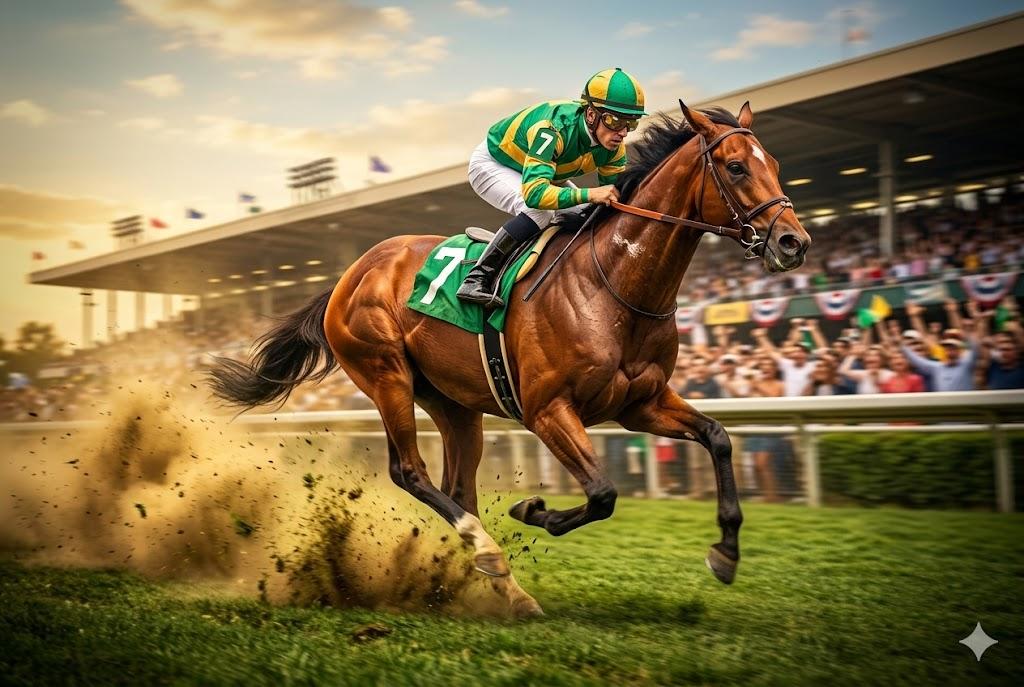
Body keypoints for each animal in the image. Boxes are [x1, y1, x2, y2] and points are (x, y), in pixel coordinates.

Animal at [209, 101, 811, 617]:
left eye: (777, 165)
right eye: (736, 167)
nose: (794, 243)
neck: (614, 284)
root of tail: (349, 274)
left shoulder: (642, 404)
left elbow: (718, 437)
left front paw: (726, 552)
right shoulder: (547, 410)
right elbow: (603, 493)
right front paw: (533, 510)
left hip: (454, 402)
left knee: (457, 487)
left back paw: (510, 591)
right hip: (386, 375)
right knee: (409, 470)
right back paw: (489, 554)